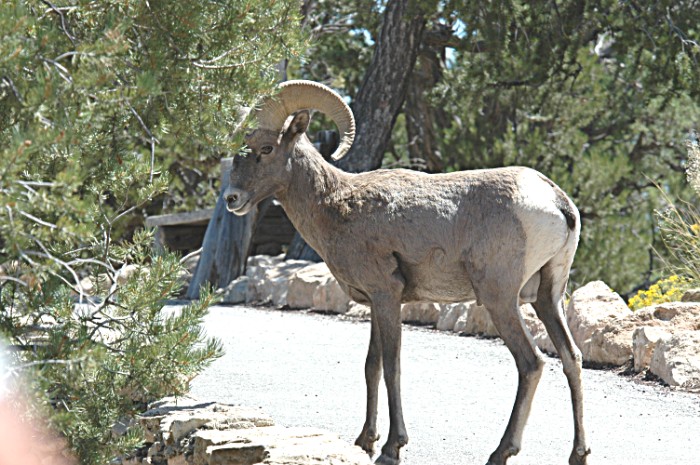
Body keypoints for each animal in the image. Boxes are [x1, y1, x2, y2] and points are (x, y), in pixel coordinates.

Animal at [224, 80, 590, 465]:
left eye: (266, 148)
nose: (232, 199)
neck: (337, 206)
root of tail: (557, 203)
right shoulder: (376, 302)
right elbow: (371, 366)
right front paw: (364, 441)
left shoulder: (387, 296)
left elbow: (391, 366)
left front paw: (391, 448)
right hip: (548, 297)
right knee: (571, 358)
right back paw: (578, 453)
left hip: (500, 299)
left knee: (531, 363)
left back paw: (500, 452)